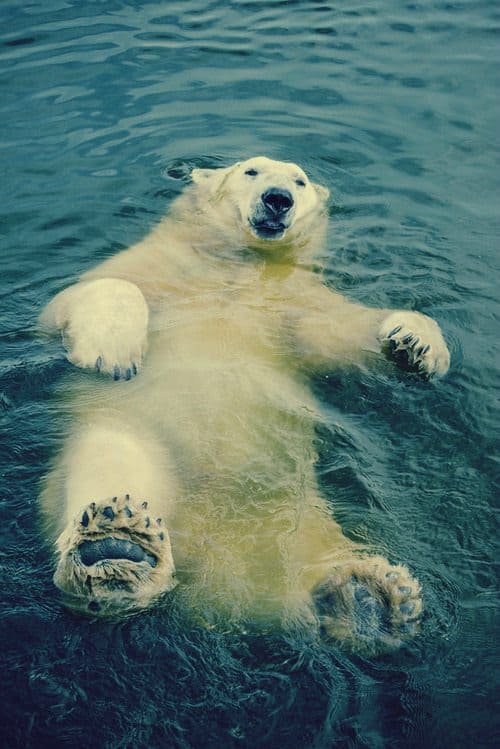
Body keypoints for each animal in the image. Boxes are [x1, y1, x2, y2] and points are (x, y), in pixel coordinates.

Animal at [38, 156, 450, 655]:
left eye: (299, 181)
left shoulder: (293, 307)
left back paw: (372, 597)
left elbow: (340, 332)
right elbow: (85, 295)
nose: (278, 199)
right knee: (113, 463)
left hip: (300, 516)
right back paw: (117, 547)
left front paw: (416, 343)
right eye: (251, 171)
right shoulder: (154, 271)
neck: (237, 270)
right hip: (128, 437)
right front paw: (114, 353)